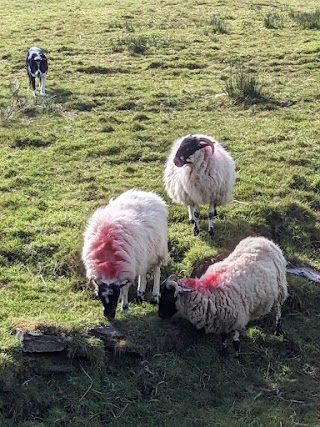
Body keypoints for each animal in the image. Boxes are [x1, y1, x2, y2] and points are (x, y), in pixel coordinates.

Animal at [81, 189, 169, 320]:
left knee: (156, 270)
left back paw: (155, 296)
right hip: (141, 255)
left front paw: (124, 307)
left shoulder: (127, 270)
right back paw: (140, 293)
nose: (109, 316)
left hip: (157, 249)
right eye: (100, 296)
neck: (108, 262)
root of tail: (148, 194)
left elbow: (125, 289)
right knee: (143, 271)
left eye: (114, 295)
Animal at [159, 237, 288, 358]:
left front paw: (237, 356)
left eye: (168, 298)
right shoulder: (222, 319)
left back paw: (277, 330)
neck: (208, 293)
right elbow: (223, 337)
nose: (160, 315)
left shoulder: (238, 319)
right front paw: (223, 353)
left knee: (278, 308)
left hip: (280, 287)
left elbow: (235, 340)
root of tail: (264, 239)